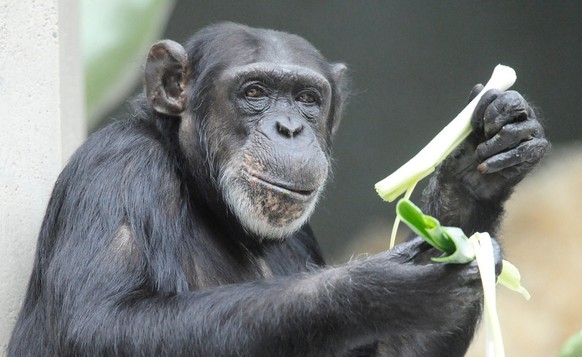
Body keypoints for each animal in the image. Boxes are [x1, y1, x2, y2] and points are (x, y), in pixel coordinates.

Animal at [6, 23, 548, 356]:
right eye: (255, 92)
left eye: (308, 98)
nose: (289, 127)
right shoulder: (115, 171)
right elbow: (102, 324)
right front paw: (379, 291)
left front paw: (472, 169)